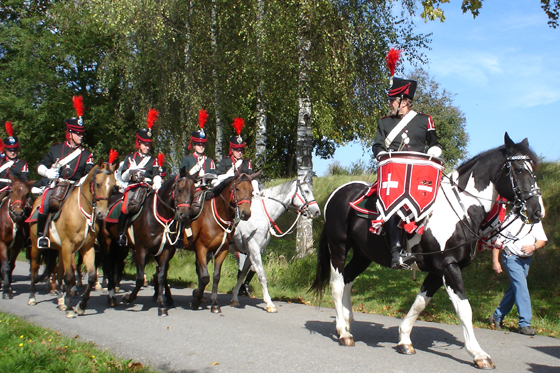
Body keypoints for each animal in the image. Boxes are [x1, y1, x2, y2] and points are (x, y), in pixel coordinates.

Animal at [28, 158, 117, 316]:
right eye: (98, 184)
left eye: (113, 186)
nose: (102, 213)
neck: (83, 212)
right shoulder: (68, 246)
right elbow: (69, 277)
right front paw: (70, 308)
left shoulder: (87, 247)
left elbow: (91, 276)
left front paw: (81, 306)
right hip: (36, 246)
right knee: (34, 267)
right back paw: (32, 297)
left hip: (59, 249)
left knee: (58, 271)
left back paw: (60, 301)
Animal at [98, 167, 197, 316]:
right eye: (179, 189)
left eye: (193, 192)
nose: (184, 215)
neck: (160, 214)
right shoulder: (141, 250)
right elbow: (139, 278)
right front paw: (128, 297)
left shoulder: (165, 251)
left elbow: (161, 276)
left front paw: (162, 304)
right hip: (107, 242)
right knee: (108, 267)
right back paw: (111, 296)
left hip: (122, 248)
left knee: (117, 266)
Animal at [186, 172, 260, 314]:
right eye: (237, 189)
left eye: (251, 191)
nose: (246, 213)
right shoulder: (201, 248)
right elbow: (205, 277)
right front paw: (196, 299)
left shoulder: (222, 250)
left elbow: (216, 277)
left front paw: (214, 303)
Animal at [231, 177, 320, 310]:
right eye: (306, 191)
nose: (317, 211)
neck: (261, 215)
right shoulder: (254, 250)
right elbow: (262, 276)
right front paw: (269, 303)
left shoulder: (252, 252)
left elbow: (242, 274)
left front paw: (235, 298)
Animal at [310, 132, 544, 368]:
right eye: (519, 170)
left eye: (533, 169)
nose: (537, 211)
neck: (459, 211)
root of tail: (338, 193)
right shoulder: (449, 266)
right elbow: (464, 308)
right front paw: (478, 354)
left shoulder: (437, 270)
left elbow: (421, 302)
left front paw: (404, 340)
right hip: (338, 247)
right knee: (337, 284)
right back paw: (343, 332)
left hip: (363, 255)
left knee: (348, 279)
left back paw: (347, 322)